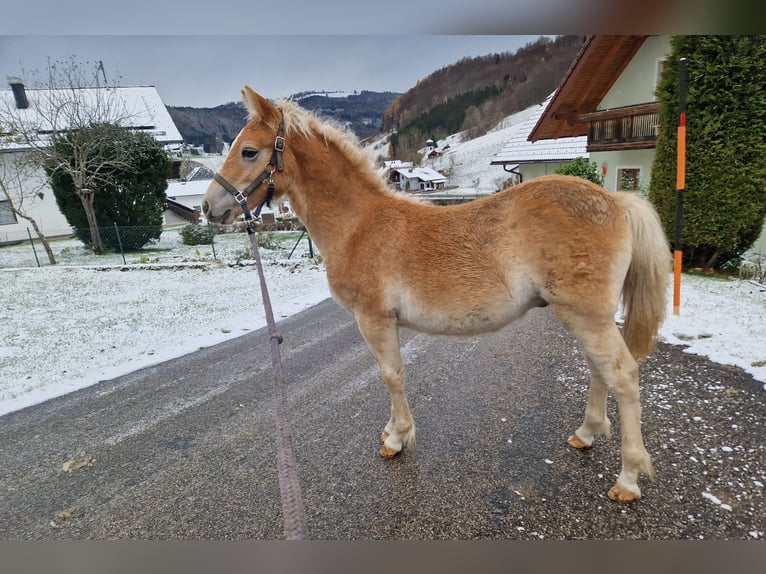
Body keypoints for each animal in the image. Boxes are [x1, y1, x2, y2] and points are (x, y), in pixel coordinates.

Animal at [202, 86, 672, 504]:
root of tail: (615, 200)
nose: (209, 208)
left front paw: (396, 438)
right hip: (585, 317)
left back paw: (628, 479)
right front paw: (394, 431)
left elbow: (392, 376)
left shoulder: (374, 320)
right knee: (600, 371)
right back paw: (586, 435)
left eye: (249, 151)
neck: (358, 225)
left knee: (623, 376)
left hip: (587, 316)